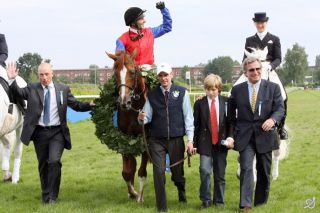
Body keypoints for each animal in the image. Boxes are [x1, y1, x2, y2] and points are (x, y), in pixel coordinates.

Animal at [106, 49, 149, 202]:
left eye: (132, 71)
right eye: (115, 73)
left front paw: (140, 196)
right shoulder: (124, 137)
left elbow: (142, 171)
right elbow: (126, 171)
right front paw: (133, 193)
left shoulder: (145, 139)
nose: (124, 102)